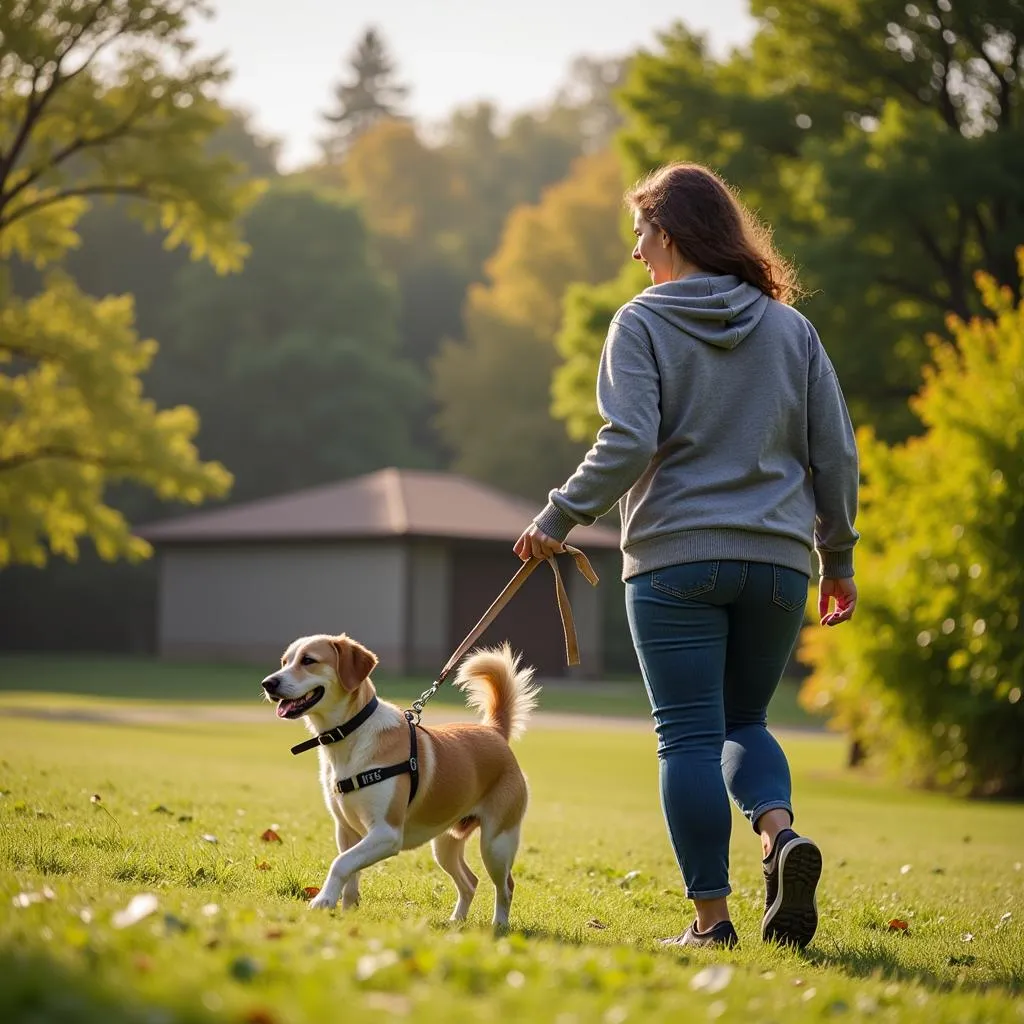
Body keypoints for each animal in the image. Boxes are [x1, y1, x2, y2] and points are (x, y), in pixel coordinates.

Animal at [260, 630, 540, 929]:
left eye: (308, 660)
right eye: (285, 661)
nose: (268, 683)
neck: (351, 736)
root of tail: (494, 731)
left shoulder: (386, 833)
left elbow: (341, 864)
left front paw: (322, 901)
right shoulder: (347, 831)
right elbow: (350, 873)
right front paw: (346, 912)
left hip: (496, 844)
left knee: (506, 886)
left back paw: (499, 925)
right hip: (445, 843)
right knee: (470, 882)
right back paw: (456, 921)